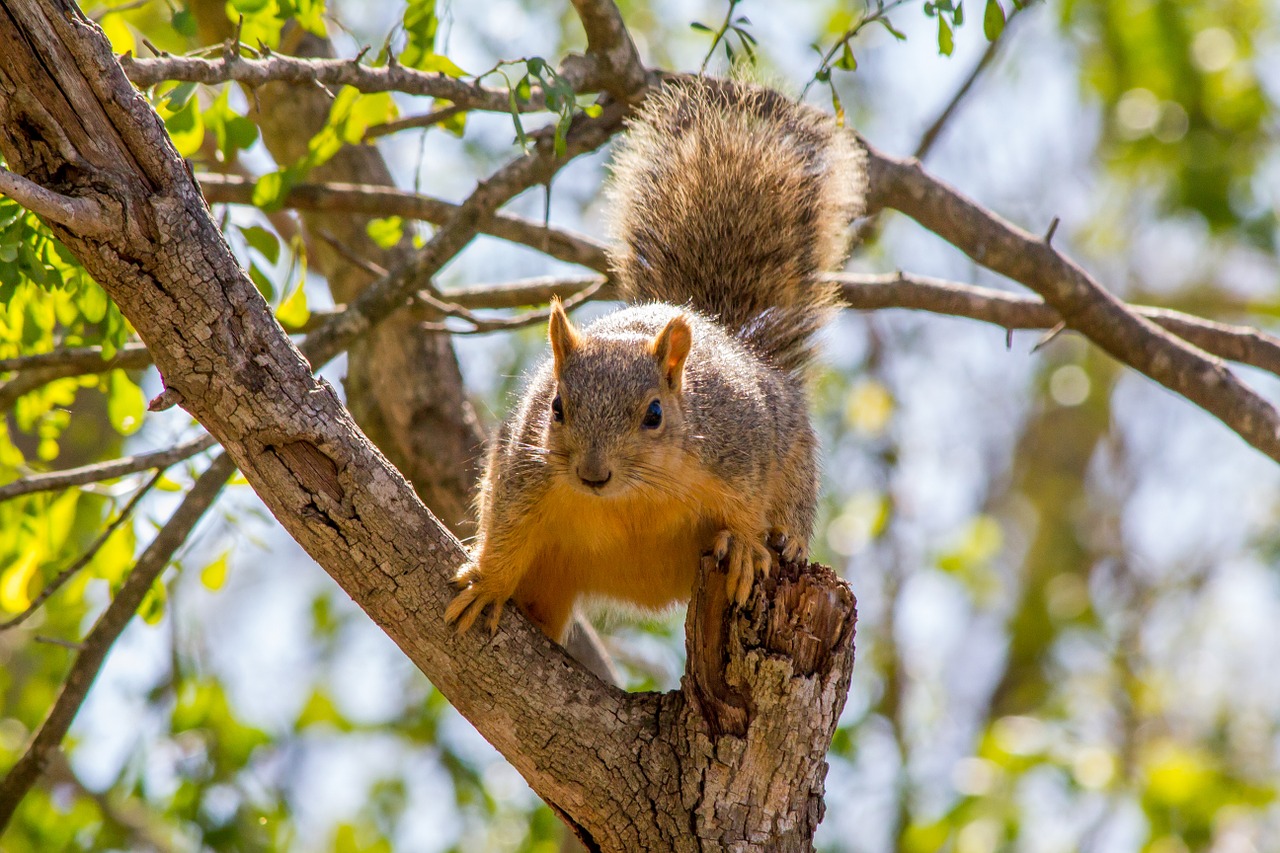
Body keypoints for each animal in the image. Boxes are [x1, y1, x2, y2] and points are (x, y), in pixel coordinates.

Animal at [445, 78, 865, 637]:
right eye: (556, 409)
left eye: (654, 414)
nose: (592, 476)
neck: (634, 496)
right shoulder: (524, 470)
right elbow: (508, 528)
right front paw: (487, 583)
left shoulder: (740, 448)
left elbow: (748, 505)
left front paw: (746, 546)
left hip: (793, 455)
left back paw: (788, 539)